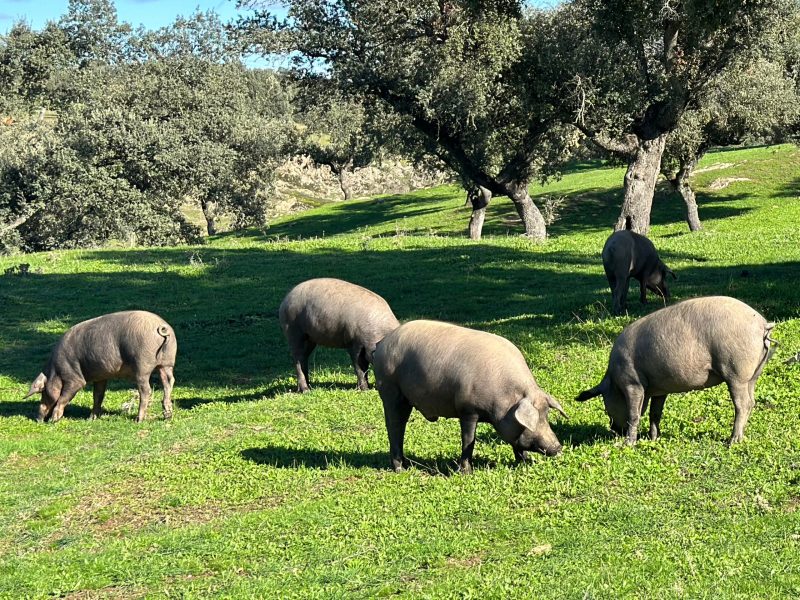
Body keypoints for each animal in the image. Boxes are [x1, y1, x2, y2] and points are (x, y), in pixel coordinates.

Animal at [25, 310, 177, 423]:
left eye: (43, 392)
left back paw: (138, 420)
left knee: (146, 390)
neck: (55, 371)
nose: (37, 419)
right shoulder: (101, 377)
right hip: (167, 362)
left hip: (142, 366)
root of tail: (162, 326)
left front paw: (53, 420)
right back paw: (167, 416)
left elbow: (65, 396)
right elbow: (98, 395)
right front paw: (91, 419)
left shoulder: (74, 378)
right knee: (168, 382)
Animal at [372, 320, 567, 473]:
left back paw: (407, 465)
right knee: (394, 426)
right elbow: (468, 440)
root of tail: (381, 344)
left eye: (546, 415)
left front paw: (526, 463)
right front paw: (466, 472)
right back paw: (400, 469)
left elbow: (515, 444)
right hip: (390, 390)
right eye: (535, 420)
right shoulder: (467, 410)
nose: (558, 447)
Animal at [575, 296, 775, 445]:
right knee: (752, 401)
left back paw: (732, 441)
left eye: (606, 406)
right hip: (753, 374)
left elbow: (634, 414)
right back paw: (741, 437)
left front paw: (628, 444)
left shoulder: (632, 383)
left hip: (736, 372)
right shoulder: (658, 389)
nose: (614, 430)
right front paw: (654, 438)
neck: (614, 380)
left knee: (743, 404)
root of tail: (762, 325)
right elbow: (655, 413)